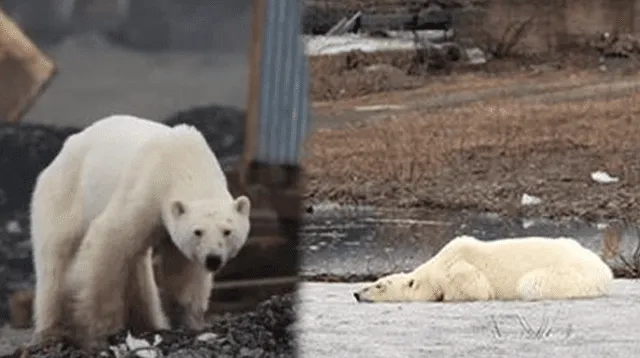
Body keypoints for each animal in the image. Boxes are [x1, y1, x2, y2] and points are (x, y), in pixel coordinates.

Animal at [30, 115, 250, 350]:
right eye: (197, 232)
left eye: (227, 231)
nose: (213, 259)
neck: (184, 161)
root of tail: (60, 154)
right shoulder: (146, 189)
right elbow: (107, 242)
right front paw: (102, 330)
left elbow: (183, 269)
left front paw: (188, 321)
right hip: (64, 195)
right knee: (56, 258)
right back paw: (52, 332)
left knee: (136, 265)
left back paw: (147, 323)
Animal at [352, 236, 612, 304]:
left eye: (379, 285)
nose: (356, 293)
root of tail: (605, 270)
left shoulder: (460, 269)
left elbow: (477, 288)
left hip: (566, 276)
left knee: (532, 283)